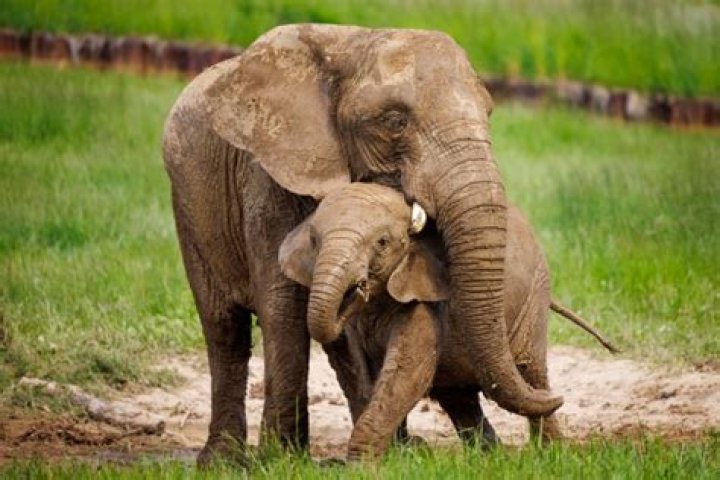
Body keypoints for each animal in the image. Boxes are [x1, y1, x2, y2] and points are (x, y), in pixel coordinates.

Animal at [162, 24, 561, 465]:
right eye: (395, 121)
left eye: (488, 114)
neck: (354, 45)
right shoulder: (267, 173)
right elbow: (282, 304)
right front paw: (281, 461)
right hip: (188, 207)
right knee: (223, 328)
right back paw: (223, 460)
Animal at [279, 183, 616, 459]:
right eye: (314, 240)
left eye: (382, 242)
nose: (357, 288)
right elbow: (364, 373)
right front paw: (397, 455)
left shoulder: (427, 300)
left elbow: (407, 373)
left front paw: (362, 465)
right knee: (459, 397)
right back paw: (490, 457)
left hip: (534, 297)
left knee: (530, 372)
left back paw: (551, 453)